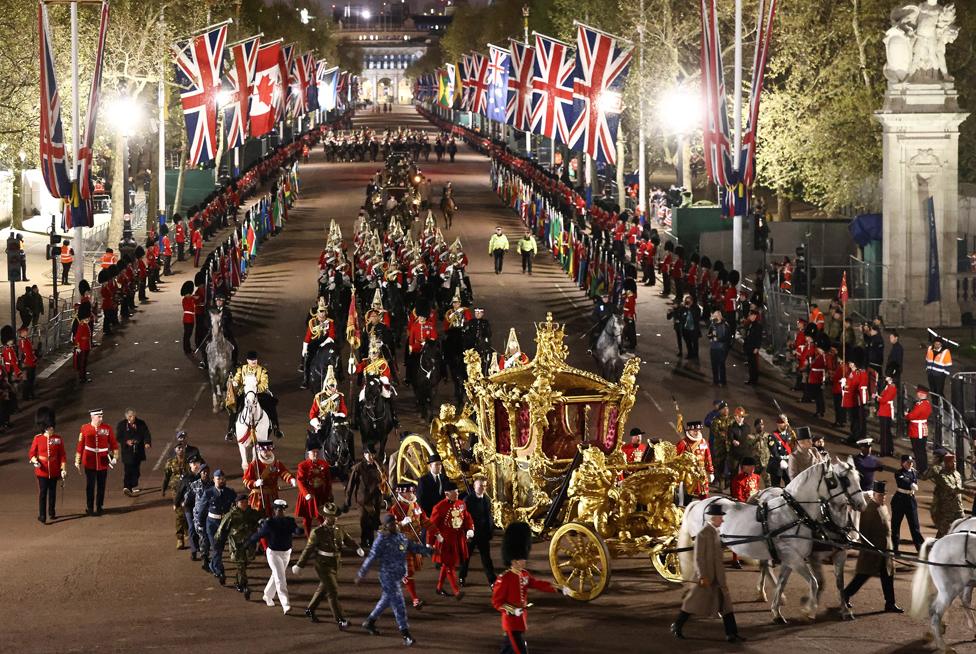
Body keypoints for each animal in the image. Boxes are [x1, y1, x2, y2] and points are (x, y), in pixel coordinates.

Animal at [680, 458, 868, 628]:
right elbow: (814, 582)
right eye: (842, 479)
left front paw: (777, 612)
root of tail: (700, 503)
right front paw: (808, 610)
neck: (793, 514)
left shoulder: (790, 559)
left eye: (858, 477)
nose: (862, 504)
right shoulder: (795, 558)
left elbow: (783, 584)